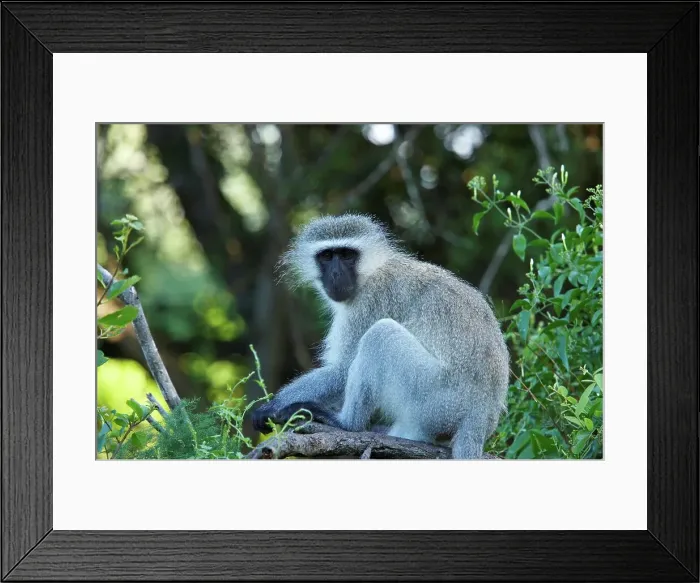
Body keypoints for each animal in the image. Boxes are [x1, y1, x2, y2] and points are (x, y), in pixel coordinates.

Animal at [250, 213, 510, 459]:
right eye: (327, 256)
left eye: (346, 255)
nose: (335, 274)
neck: (371, 272)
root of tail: (481, 413)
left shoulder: (369, 302)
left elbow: (341, 371)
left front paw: (272, 407)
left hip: (436, 396)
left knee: (380, 335)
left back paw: (347, 423)